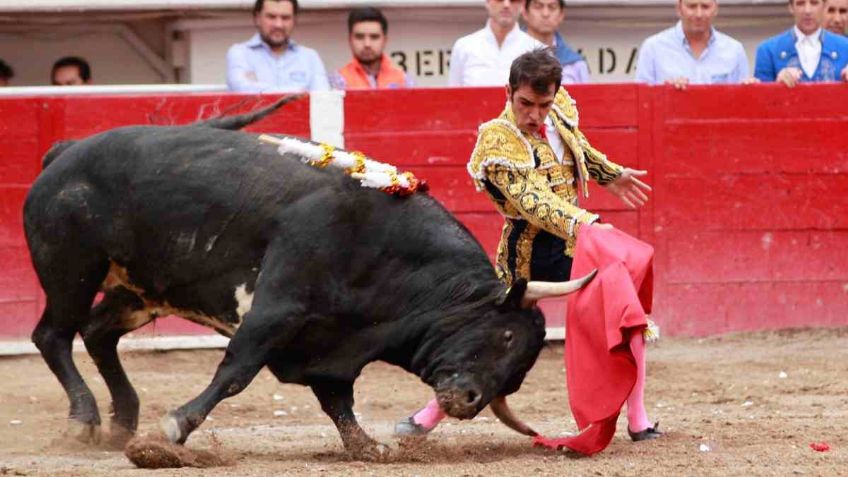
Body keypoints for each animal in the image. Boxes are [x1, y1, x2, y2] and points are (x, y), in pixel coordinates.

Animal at [19, 98, 588, 460]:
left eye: (517, 375)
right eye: (507, 336)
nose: (468, 403)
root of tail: (65, 152)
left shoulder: (328, 345)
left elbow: (339, 401)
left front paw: (369, 446)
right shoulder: (276, 309)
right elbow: (236, 371)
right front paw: (175, 427)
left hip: (137, 289)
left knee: (97, 334)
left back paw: (121, 422)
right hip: (72, 269)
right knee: (53, 335)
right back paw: (86, 419)